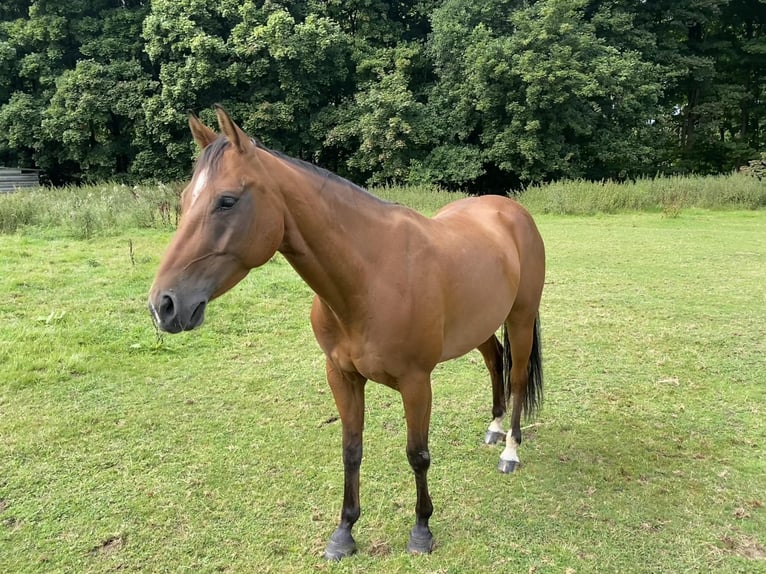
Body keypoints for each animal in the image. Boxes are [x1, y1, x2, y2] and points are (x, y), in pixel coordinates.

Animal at [148, 106, 545, 560]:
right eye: (184, 200)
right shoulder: (341, 376)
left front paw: (421, 530)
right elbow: (351, 450)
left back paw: (510, 449)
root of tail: (509, 211)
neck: (369, 275)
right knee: (495, 362)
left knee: (516, 378)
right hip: (480, 325)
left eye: (226, 201)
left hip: (520, 318)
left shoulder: (416, 382)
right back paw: (494, 429)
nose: (163, 304)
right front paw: (344, 532)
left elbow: (417, 454)